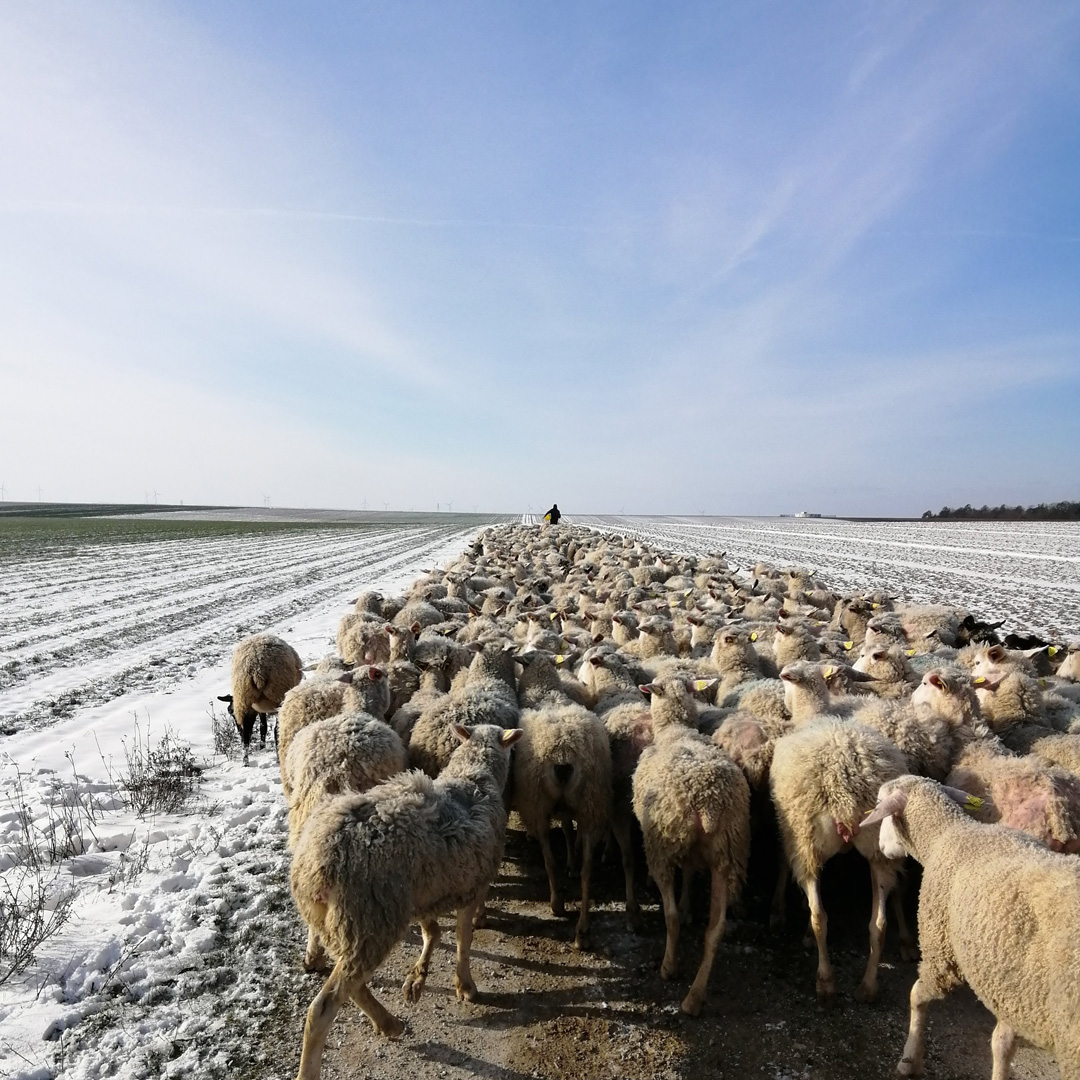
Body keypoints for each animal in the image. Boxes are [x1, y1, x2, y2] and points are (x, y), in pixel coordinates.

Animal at [217, 630, 304, 760]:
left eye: (231, 712)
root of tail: (257, 670)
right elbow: (264, 726)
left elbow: (262, 726)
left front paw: (261, 746)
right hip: (278, 695)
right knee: (276, 730)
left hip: (244, 699)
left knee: (246, 735)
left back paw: (246, 759)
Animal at [289, 725, 520, 1080]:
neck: (474, 775)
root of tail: (316, 863)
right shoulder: (473, 886)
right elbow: (462, 939)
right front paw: (465, 985)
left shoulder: (422, 891)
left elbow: (432, 932)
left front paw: (417, 978)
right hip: (370, 919)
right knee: (324, 1007)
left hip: (352, 922)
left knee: (354, 985)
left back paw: (388, 1022)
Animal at [630, 669, 751, 1015]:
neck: (676, 731)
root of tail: (708, 804)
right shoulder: (689, 848)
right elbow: (689, 873)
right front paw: (687, 907)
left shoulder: (671, 841)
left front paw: (681, 910)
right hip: (727, 852)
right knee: (716, 929)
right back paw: (694, 998)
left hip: (659, 845)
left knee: (668, 916)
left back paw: (669, 968)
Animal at [859, 777, 1080, 1080]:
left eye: (881, 805)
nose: (881, 847)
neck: (946, 832)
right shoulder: (1015, 984)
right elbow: (1003, 1043)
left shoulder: (942, 955)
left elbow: (917, 997)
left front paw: (909, 1059)